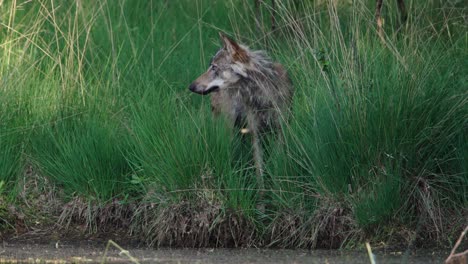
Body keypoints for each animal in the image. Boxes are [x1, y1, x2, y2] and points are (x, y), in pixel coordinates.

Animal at [189, 31, 292, 204]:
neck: (261, 96)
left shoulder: (279, 131)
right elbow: (259, 172)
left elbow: (280, 163)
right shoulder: (255, 135)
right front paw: (262, 202)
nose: (191, 86)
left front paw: (279, 192)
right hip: (229, 128)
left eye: (214, 67)